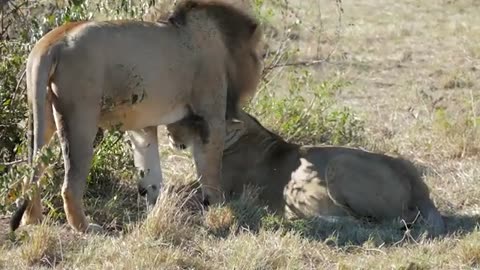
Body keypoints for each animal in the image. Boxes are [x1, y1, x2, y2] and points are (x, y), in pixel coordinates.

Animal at [166, 108, 446, 235]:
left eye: (195, 122)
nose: (168, 131)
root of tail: (417, 184)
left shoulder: (219, 195)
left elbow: (182, 192)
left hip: (338, 164)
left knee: (382, 221)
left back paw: (303, 219)